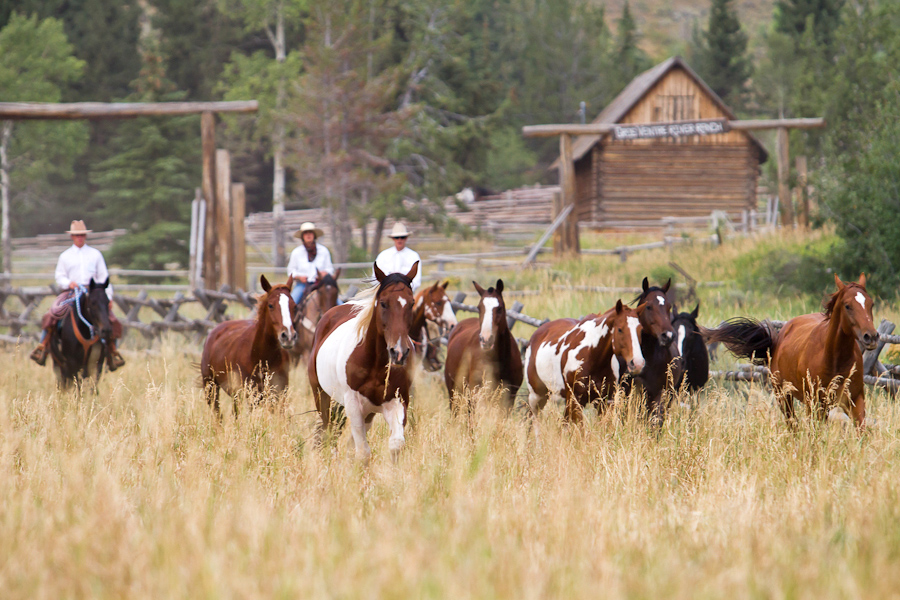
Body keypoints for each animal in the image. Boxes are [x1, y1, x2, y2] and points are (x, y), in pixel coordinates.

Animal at [200, 274, 298, 414]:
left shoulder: (278, 394)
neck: (259, 356)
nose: (288, 336)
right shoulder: (251, 396)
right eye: (271, 305)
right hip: (211, 387)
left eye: (294, 306)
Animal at [308, 260, 420, 462]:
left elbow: (395, 444)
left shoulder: (398, 402)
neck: (374, 364)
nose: (399, 353)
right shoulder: (353, 405)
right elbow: (363, 453)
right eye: (383, 303)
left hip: (367, 412)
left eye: (412, 303)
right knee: (329, 434)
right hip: (322, 397)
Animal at [444, 278, 524, 410]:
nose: (486, 339)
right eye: (478, 308)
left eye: (499, 308)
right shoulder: (478, 396)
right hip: (454, 394)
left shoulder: (508, 400)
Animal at [708, 274, 876, 428]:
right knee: (792, 424)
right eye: (847, 305)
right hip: (783, 396)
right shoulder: (812, 403)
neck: (833, 359)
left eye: (871, 304)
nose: (871, 336)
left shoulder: (854, 400)